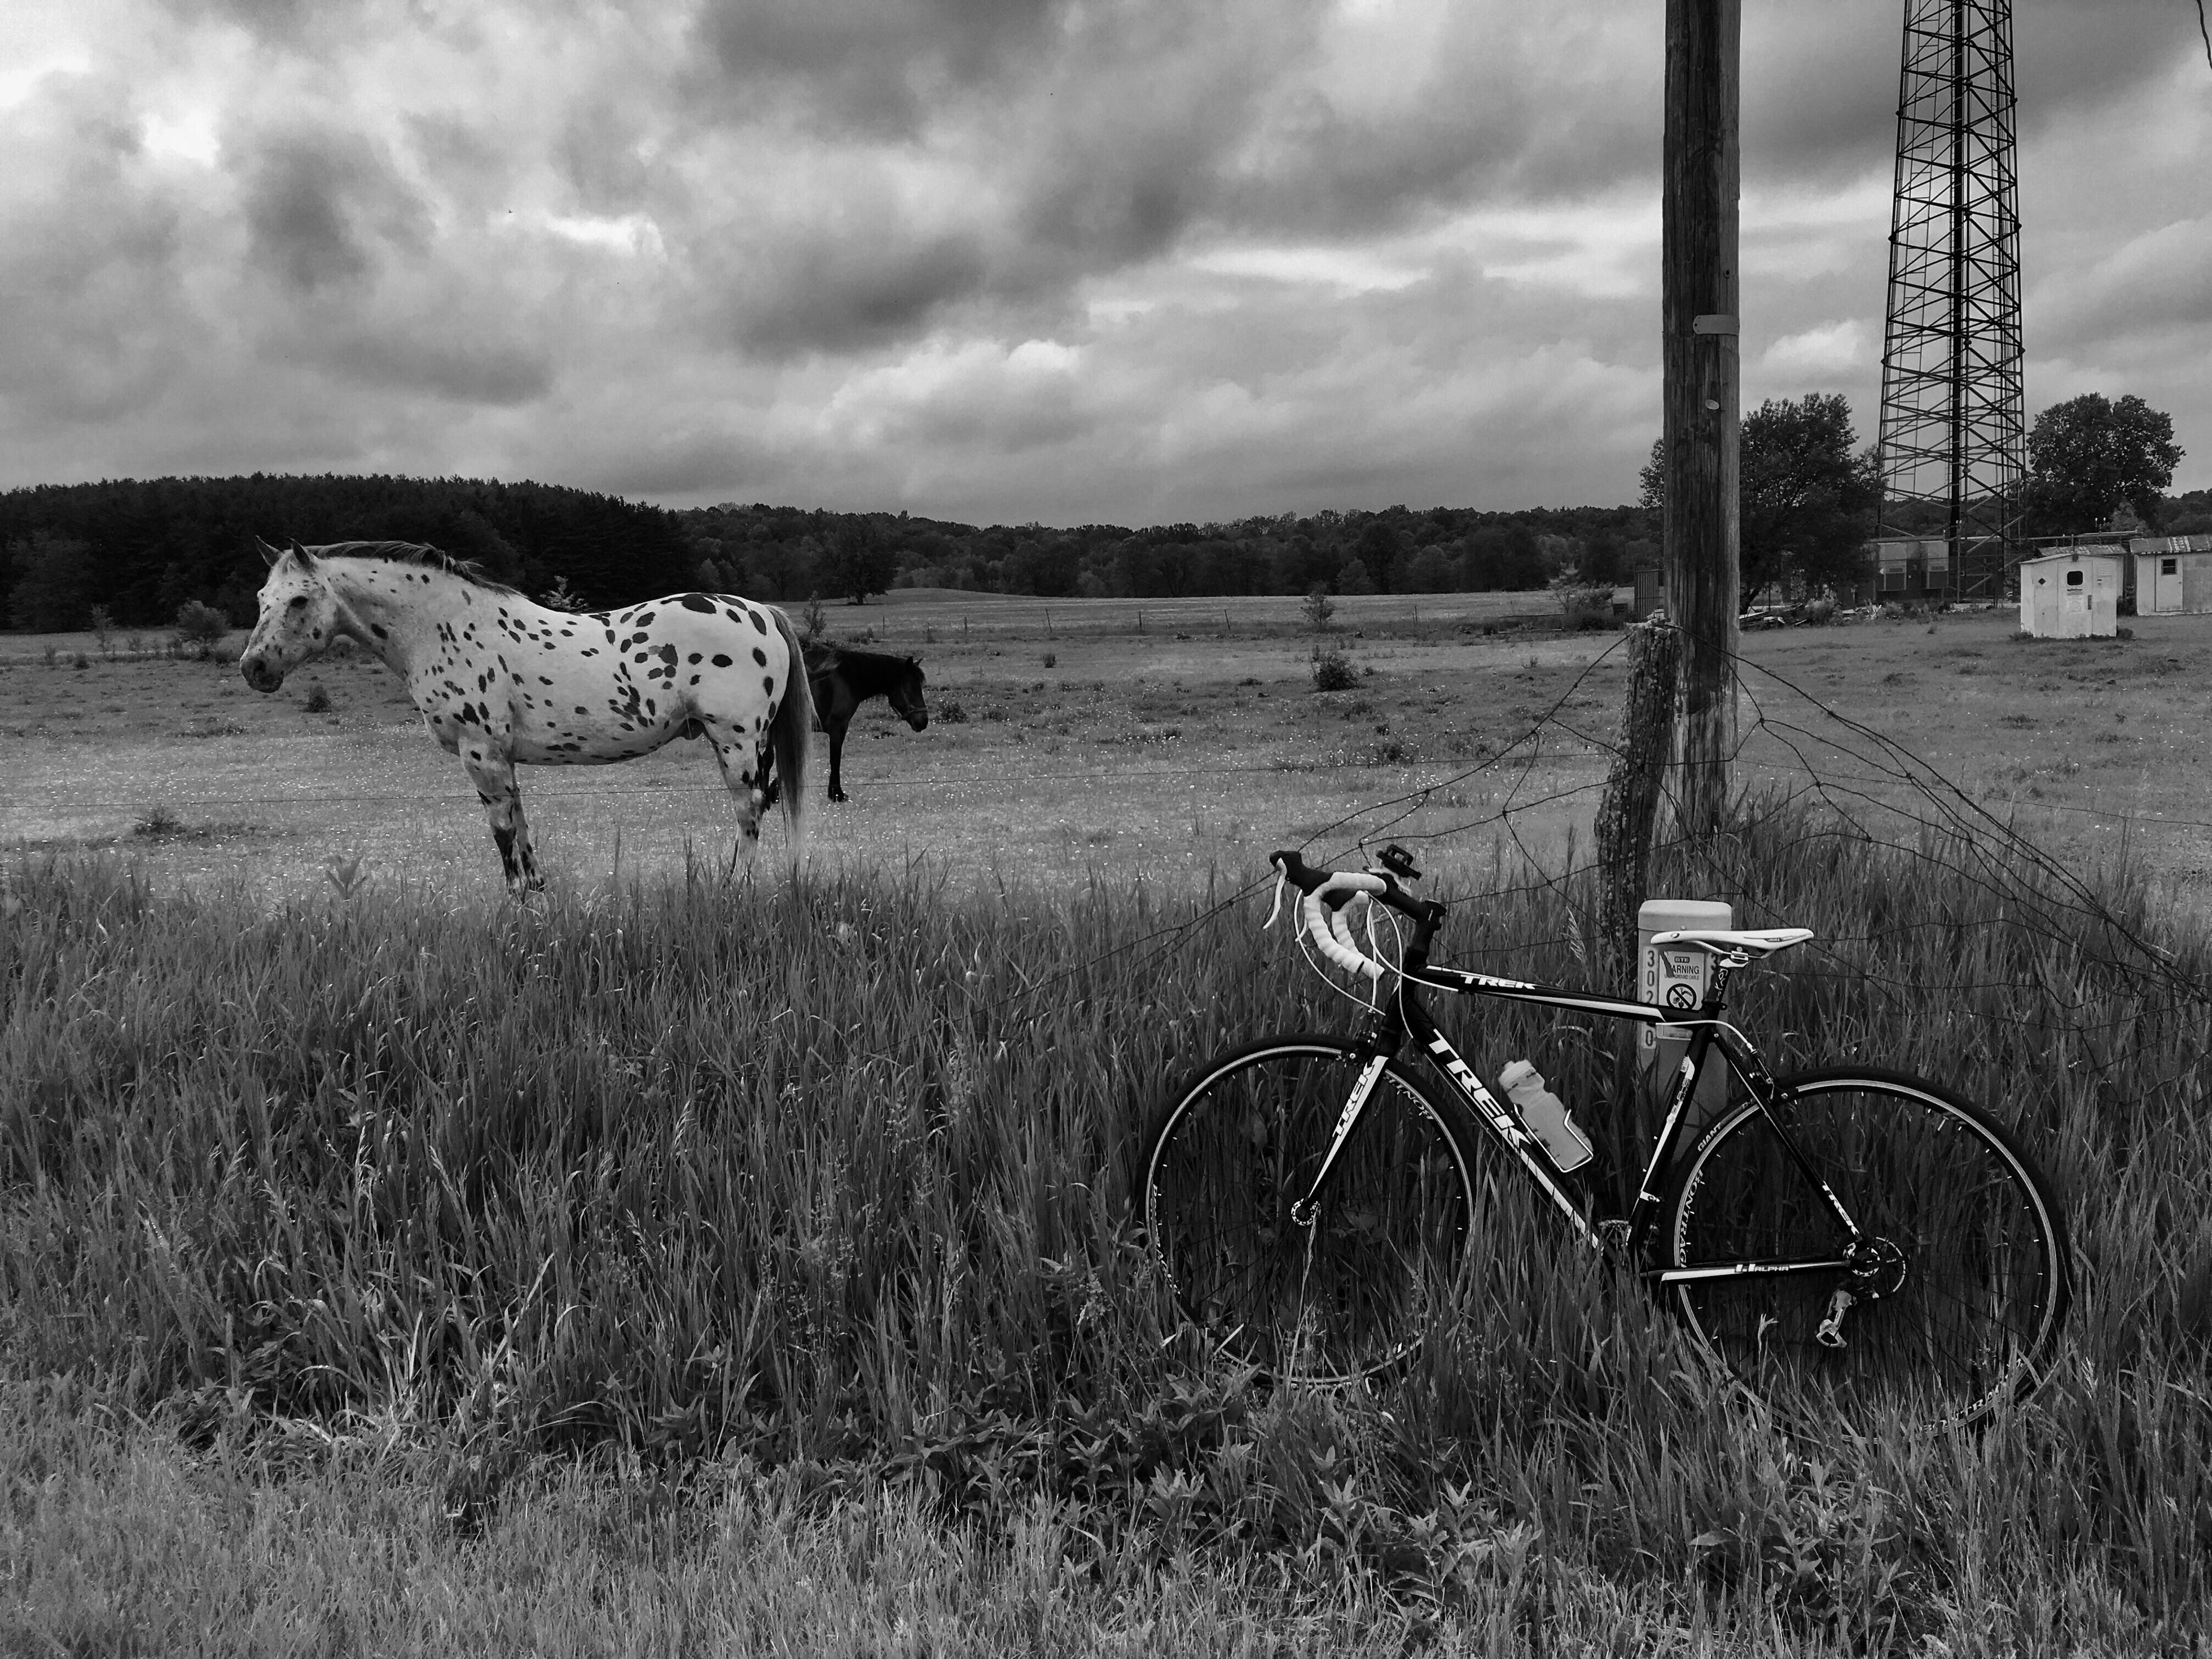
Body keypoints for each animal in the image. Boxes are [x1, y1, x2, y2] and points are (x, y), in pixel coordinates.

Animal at [238, 537, 811, 891]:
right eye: (262, 595)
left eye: (299, 601)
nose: (254, 668)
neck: (447, 626)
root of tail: (761, 612)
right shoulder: (501, 759)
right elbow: (521, 824)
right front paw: (537, 893)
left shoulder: (480, 755)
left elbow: (502, 833)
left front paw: (516, 901)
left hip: (737, 743)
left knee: (749, 812)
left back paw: (735, 886)